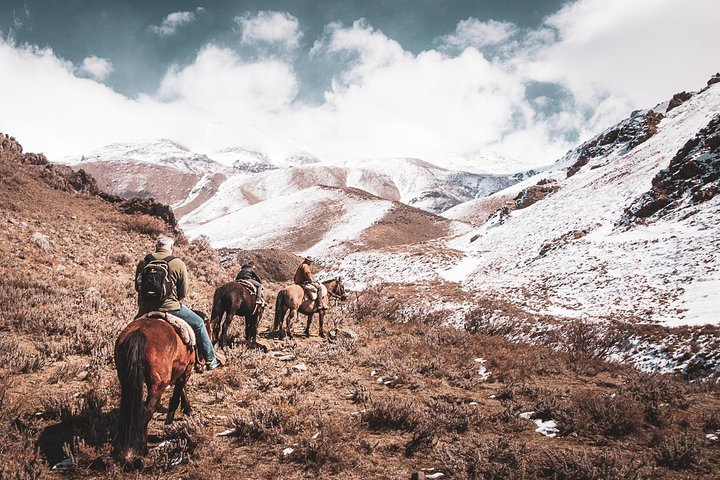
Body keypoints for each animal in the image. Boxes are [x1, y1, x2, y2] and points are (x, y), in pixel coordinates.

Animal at [114, 312, 211, 462]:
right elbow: (177, 396)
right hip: (157, 385)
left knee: (127, 408)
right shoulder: (186, 369)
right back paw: (141, 449)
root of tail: (139, 332)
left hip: (126, 380)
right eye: (209, 330)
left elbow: (181, 391)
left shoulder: (179, 370)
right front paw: (170, 423)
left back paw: (121, 447)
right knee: (146, 411)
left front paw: (187, 410)